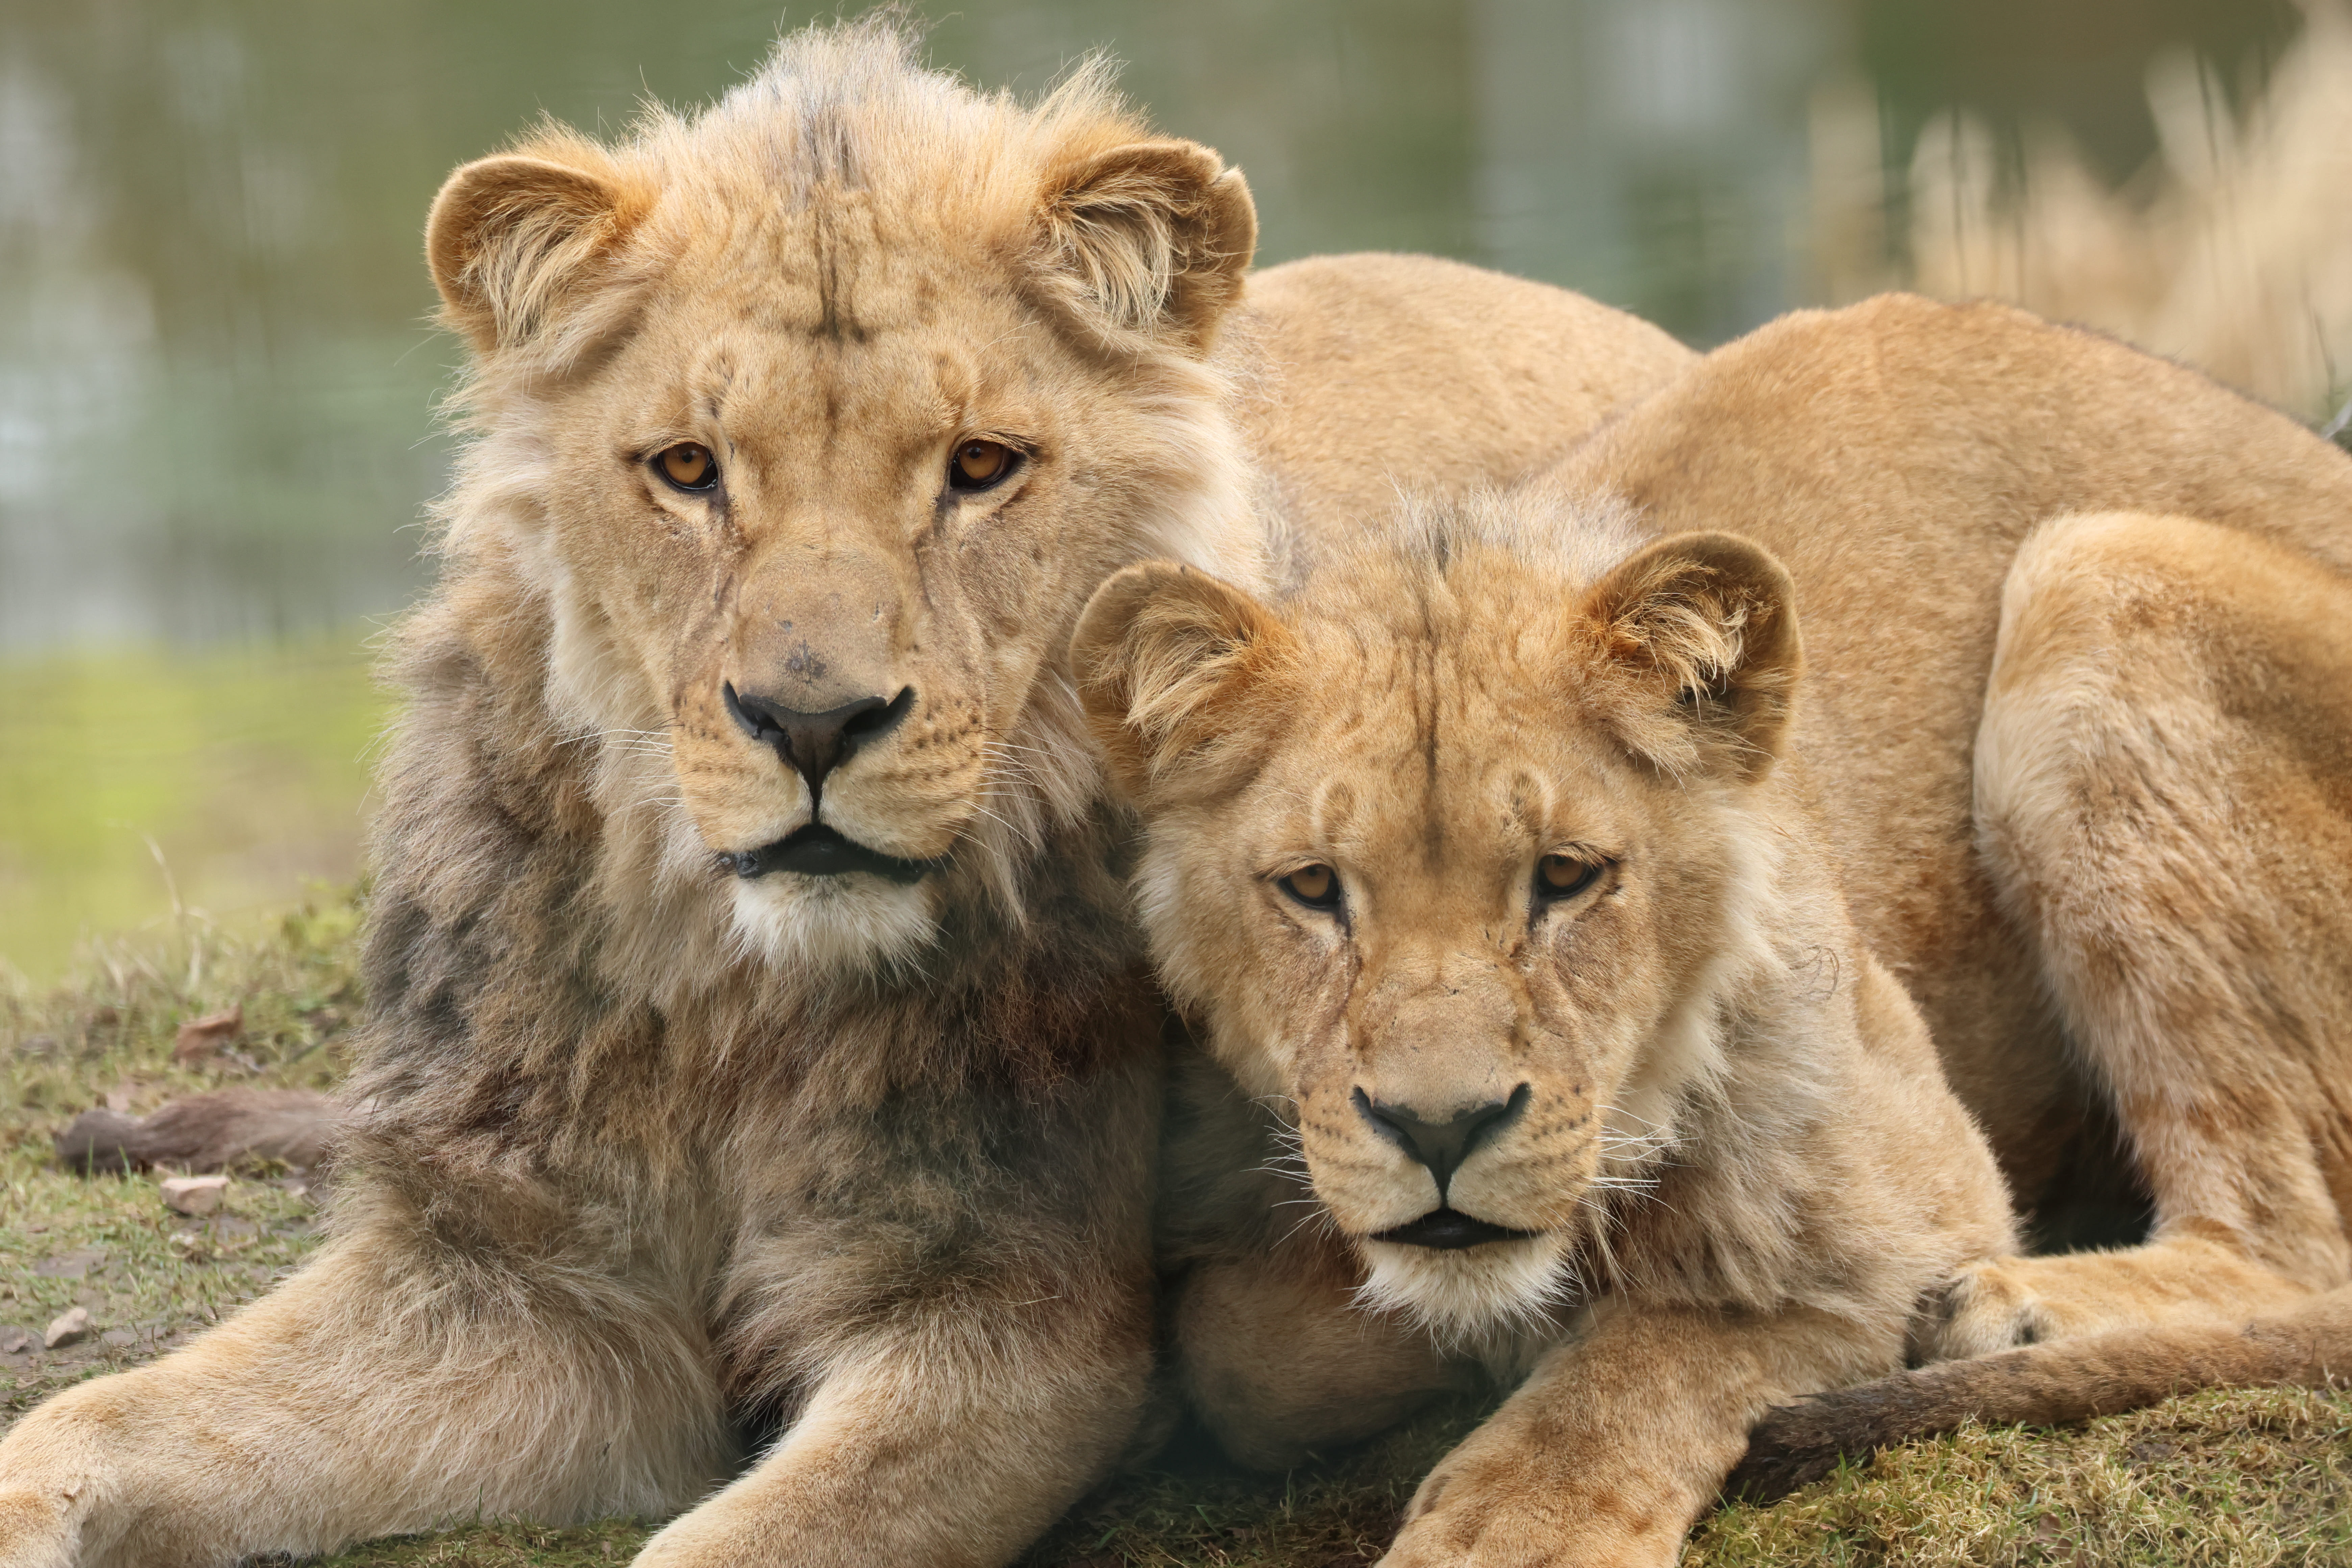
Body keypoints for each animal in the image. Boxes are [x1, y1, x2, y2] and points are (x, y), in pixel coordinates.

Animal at [0, 21, 1691, 1568]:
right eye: (687, 467)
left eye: (982, 465)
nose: (812, 719)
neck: (736, 1003)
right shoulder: (522, 1282)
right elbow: (90, 1420)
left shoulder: (1003, 1320)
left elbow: (729, 1544)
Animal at [1073, 495, 2021, 1565]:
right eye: (1314, 886)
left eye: (1565, 874)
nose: (1440, 1129)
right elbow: (1254, 1362)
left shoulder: (1920, 1193)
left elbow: (1664, 1349)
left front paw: (1516, 1527)